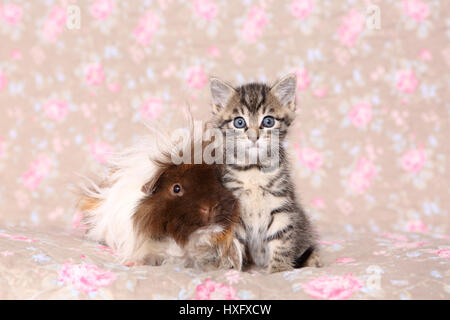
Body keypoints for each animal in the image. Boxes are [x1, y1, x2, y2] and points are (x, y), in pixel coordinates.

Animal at [209, 74, 322, 272]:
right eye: (239, 122)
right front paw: (231, 269)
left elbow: (282, 240)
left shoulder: (281, 206)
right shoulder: (233, 209)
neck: (254, 170)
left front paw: (280, 270)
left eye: (268, 121)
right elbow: (233, 242)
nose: (254, 137)